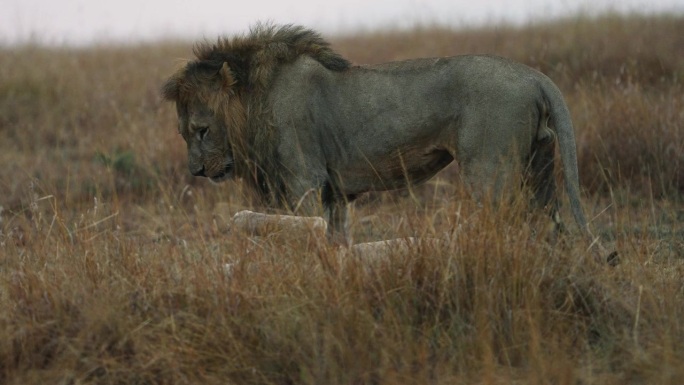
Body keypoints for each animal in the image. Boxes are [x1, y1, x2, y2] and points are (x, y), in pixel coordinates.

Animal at [163, 23, 608, 252]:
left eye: (202, 130)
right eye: (183, 134)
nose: (197, 171)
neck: (256, 100)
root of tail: (534, 76)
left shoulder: (304, 179)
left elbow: (303, 229)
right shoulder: (333, 192)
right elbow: (335, 237)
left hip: (490, 172)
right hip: (540, 167)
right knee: (552, 226)